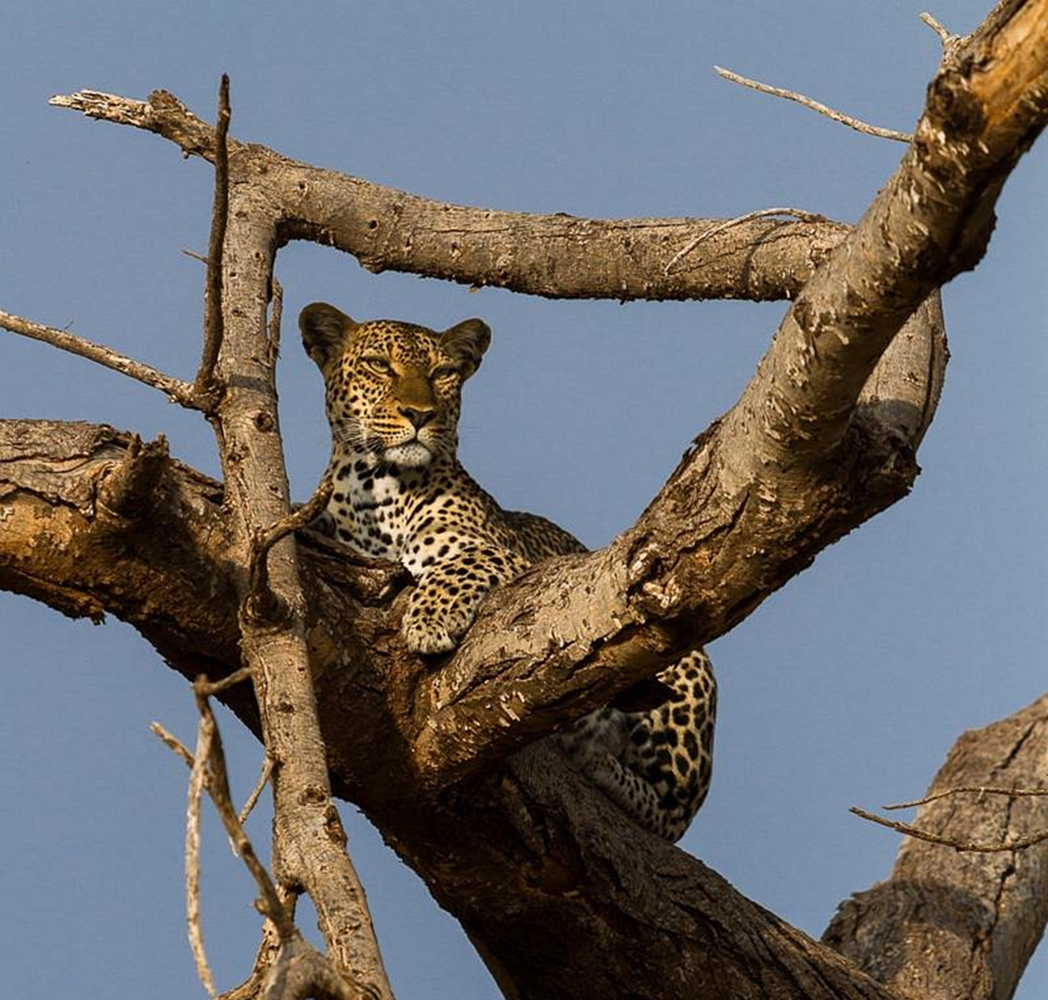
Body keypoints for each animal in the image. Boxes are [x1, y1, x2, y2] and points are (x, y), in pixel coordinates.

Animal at [299, 301, 717, 842]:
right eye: (378, 365)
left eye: (442, 373)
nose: (419, 415)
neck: (373, 485)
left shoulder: (518, 562)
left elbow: (460, 563)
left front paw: (428, 619)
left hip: (687, 675)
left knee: (668, 811)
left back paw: (600, 764)